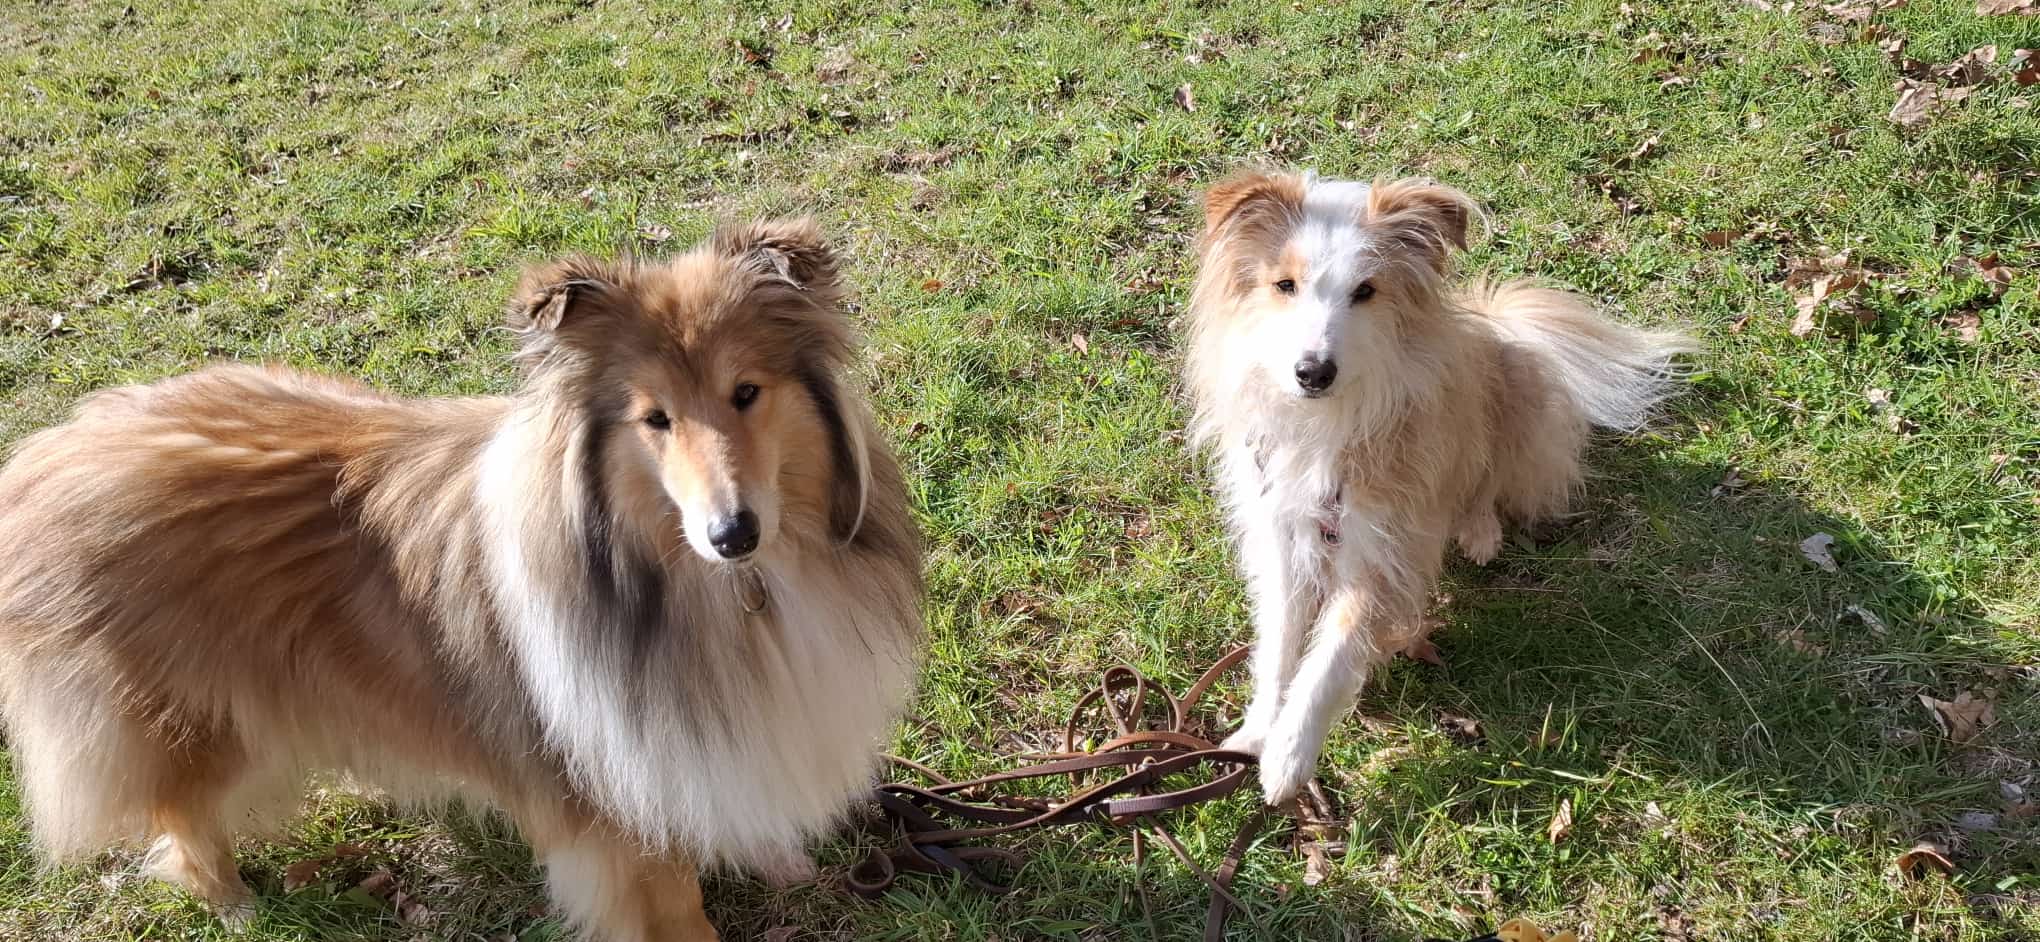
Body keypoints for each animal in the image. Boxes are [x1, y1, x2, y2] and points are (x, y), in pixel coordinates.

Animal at [0, 218, 923, 940]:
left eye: (747, 392)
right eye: (654, 419)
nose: (733, 535)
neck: (706, 590)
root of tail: (49, 456)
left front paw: (782, 863)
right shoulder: (614, 805)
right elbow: (673, 903)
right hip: (197, 721)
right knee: (182, 818)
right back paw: (234, 904)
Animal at [1185, 170, 1692, 805]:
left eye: (1365, 291)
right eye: (1284, 285)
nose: (1312, 372)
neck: (1328, 420)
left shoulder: (1384, 549)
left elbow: (1329, 658)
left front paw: (1288, 758)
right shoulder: (1284, 537)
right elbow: (1278, 647)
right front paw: (1256, 733)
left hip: (1509, 398)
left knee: (1487, 483)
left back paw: (1480, 532)